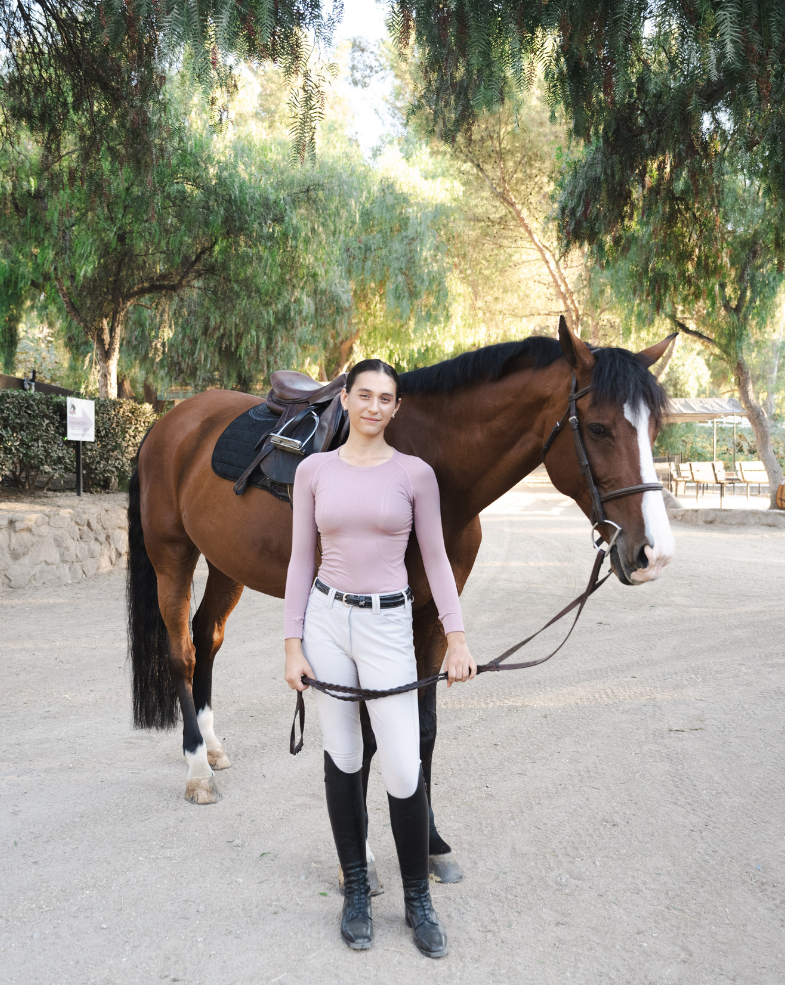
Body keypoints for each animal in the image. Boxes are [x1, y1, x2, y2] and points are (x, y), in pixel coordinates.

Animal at [127, 320, 672, 872]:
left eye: (653, 430)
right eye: (599, 428)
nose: (654, 553)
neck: (431, 471)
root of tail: (170, 422)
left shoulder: (431, 618)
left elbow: (421, 729)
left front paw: (430, 843)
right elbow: (367, 739)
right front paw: (362, 849)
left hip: (225, 564)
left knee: (207, 638)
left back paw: (212, 745)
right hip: (172, 556)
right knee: (182, 653)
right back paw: (197, 768)